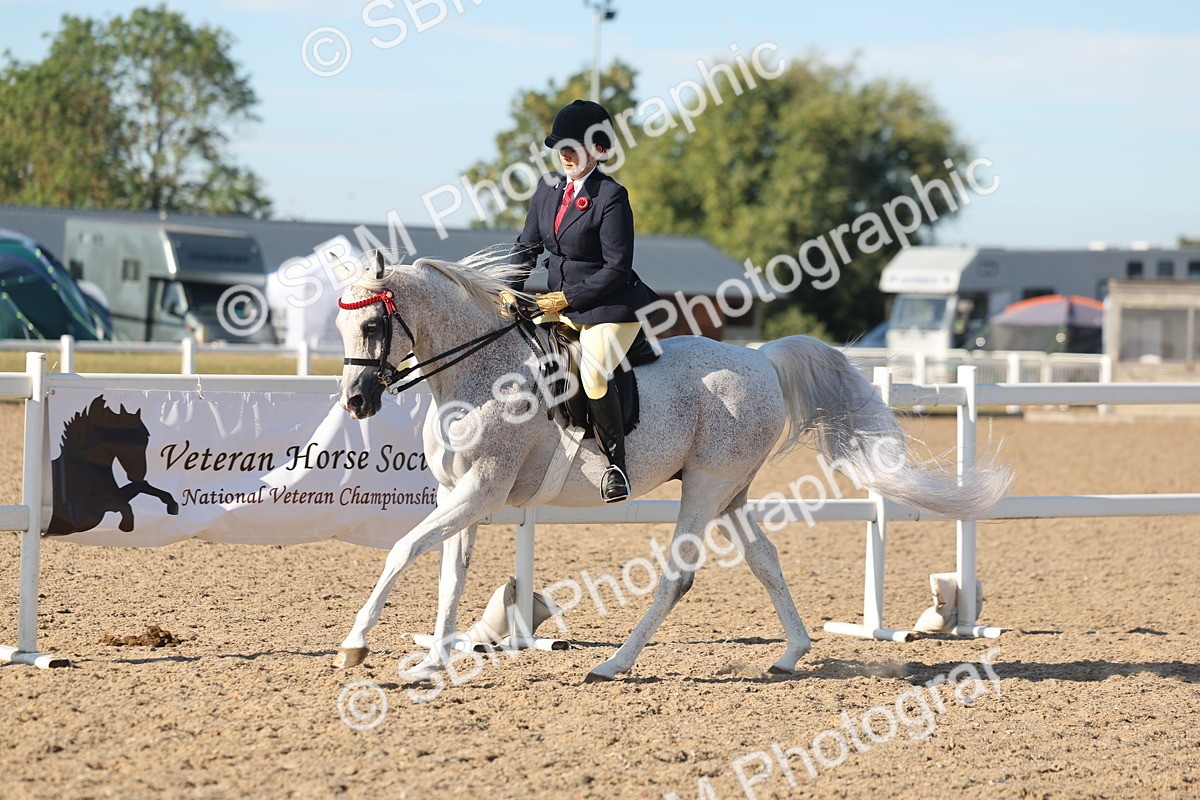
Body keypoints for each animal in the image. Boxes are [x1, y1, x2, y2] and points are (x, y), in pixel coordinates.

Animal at [48, 395, 179, 535]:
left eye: (146, 438)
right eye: (127, 441)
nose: (138, 476)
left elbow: (139, 488)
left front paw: (172, 505)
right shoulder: (91, 510)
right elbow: (125, 506)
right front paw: (126, 526)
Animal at [331, 251, 1012, 681]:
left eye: (374, 322)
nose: (357, 401)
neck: (479, 374)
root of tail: (762, 357)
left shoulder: (480, 491)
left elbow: (403, 551)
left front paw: (354, 647)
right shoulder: (462, 494)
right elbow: (449, 577)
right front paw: (430, 662)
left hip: (707, 487)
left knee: (678, 577)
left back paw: (614, 665)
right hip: (730, 490)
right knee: (764, 559)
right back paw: (790, 654)